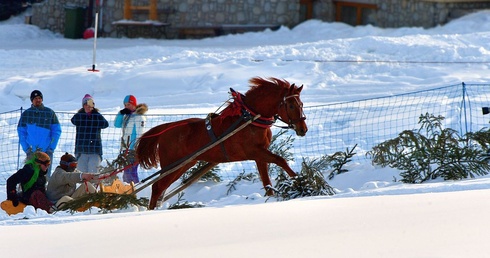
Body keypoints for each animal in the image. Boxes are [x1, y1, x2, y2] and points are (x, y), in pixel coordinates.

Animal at [136, 76, 308, 210]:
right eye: (291, 105)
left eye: (301, 104)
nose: (303, 129)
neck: (250, 119)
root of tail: (165, 129)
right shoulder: (255, 152)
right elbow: (281, 160)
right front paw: (299, 181)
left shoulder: (260, 155)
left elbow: (267, 182)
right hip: (172, 165)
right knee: (156, 188)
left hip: (185, 164)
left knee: (161, 190)